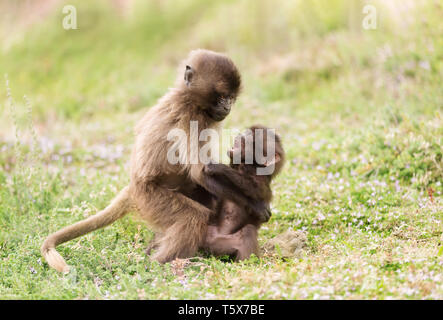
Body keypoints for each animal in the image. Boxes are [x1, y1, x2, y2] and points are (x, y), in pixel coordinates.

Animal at [41, 49, 270, 272]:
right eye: (222, 96)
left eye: (231, 97)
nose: (228, 106)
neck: (187, 97)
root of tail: (132, 188)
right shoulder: (191, 116)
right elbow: (202, 171)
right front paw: (256, 205)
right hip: (152, 199)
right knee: (192, 216)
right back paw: (164, 265)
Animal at [201, 124, 284, 262]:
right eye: (247, 132)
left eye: (251, 139)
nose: (241, 135)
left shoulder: (260, 179)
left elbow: (252, 188)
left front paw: (217, 167)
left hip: (225, 242)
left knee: (247, 232)